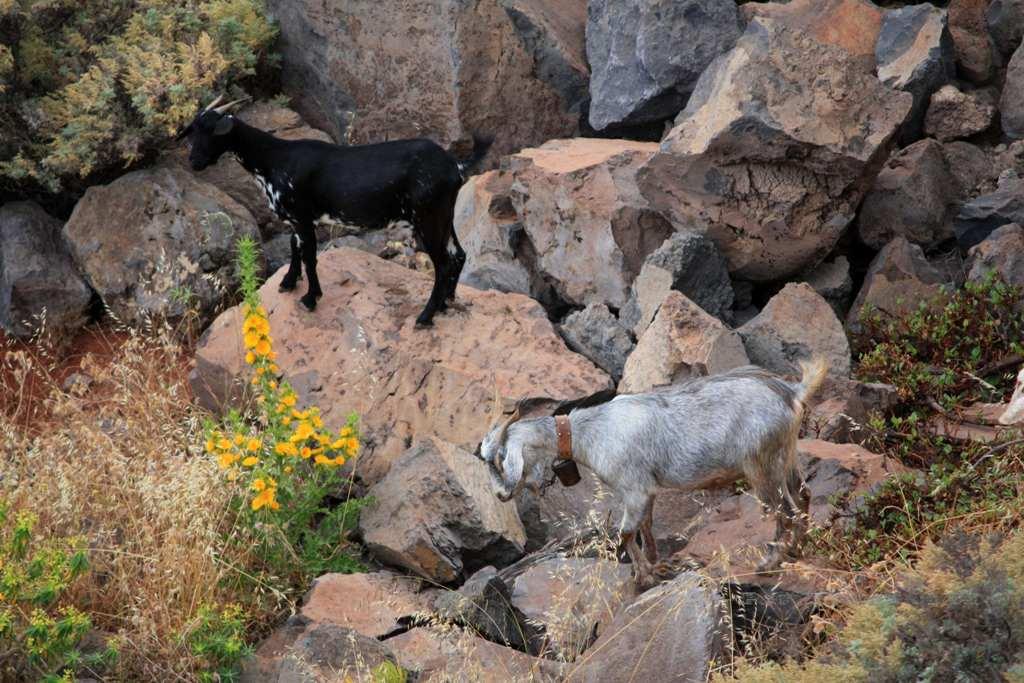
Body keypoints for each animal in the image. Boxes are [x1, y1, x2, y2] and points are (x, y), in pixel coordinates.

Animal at [179, 96, 491, 327]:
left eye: (211, 132)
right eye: (193, 131)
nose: (194, 162)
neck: (273, 159)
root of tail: (455, 166)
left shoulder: (302, 216)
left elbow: (309, 258)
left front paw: (311, 298)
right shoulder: (295, 219)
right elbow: (294, 248)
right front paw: (288, 283)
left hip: (427, 218)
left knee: (443, 264)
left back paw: (425, 316)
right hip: (443, 215)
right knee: (458, 254)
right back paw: (447, 302)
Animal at [475, 358, 827, 589]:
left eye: (498, 460)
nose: (500, 495)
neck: (590, 432)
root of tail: (792, 392)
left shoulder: (634, 489)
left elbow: (625, 533)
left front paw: (643, 576)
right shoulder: (646, 490)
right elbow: (644, 528)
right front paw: (654, 565)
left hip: (761, 466)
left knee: (785, 511)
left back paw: (769, 563)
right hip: (785, 456)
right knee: (803, 495)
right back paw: (797, 549)